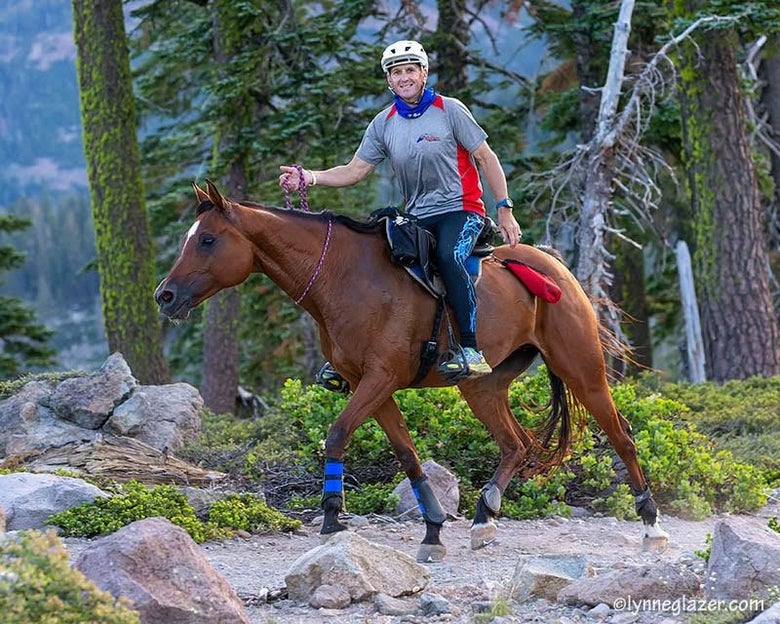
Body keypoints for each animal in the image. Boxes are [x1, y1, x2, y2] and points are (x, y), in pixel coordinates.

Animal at [155, 180, 669, 562]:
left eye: (207, 239)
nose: (165, 296)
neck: (343, 278)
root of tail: (553, 265)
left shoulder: (380, 379)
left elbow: (337, 434)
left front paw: (331, 516)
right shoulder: (370, 385)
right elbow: (407, 454)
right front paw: (434, 530)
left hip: (581, 368)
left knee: (621, 435)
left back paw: (651, 524)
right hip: (483, 387)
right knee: (516, 444)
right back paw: (484, 517)